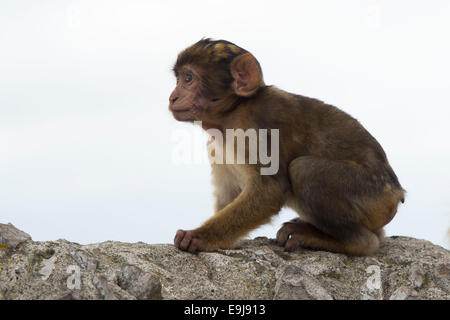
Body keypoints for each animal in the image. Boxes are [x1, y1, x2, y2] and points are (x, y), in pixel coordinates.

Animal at [168, 38, 404, 256]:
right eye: (179, 79)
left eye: (188, 78)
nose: (173, 97)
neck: (233, 112)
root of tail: (397, 193)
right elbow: (229, 192)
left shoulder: (256, 129)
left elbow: (269, 191)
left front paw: (199, 237)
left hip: (371, 193)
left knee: (304, 170)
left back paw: (351, 242)